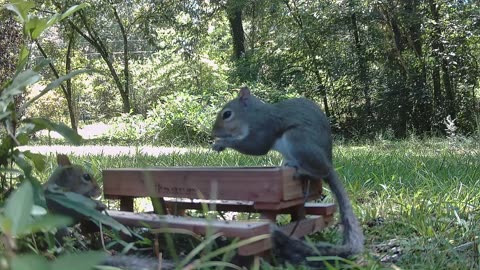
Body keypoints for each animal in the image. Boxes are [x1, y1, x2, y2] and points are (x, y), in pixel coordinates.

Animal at [212, 87, 366, 266]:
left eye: (227, 114)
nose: (213, 132)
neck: (252, 115)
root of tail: (329, 163)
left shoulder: (263, 128)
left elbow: (256, 146)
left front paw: (221, 143)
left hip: (298, 139)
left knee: (319, 171)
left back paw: (302, 171)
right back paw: (288, 165)